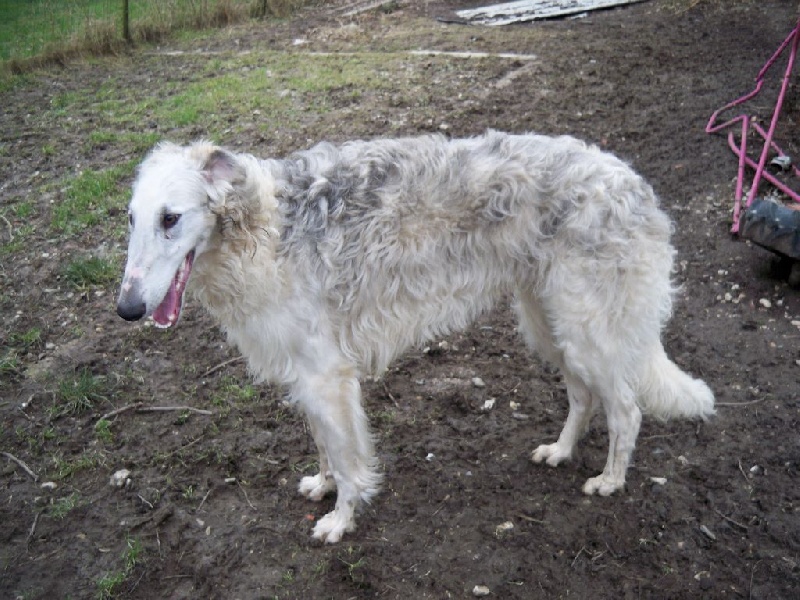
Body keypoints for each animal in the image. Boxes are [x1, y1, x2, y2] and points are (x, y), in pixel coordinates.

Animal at [116, 131, 714, 543]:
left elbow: (349, 460)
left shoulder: (327, 375)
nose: (127, 309)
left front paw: (340, 519)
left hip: (587, 332)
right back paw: (560, 452)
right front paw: (322, 486)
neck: (262, 228)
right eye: (131, 219)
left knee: (626, 411)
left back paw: (610, 481)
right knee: (584, 397)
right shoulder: (305, 375)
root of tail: (632, 180)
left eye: (171, 218)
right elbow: (324, 447)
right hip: (550, 325)